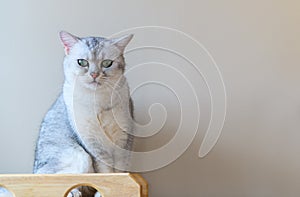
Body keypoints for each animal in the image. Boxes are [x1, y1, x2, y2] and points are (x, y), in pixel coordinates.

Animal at [32, 31, 135, 196]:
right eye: (82, 62)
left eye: (107, 63)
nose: (94, 74)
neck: (96, 100)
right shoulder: (91, 142)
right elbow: (106, 171)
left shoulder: (124, 138)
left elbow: (120, 170)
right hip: (80, 156)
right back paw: (73, 192)